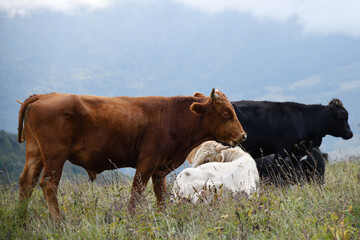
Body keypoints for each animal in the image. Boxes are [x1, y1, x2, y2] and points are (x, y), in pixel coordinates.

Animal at [18, 88, 246, 221]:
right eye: (226, 114)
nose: (243, 136)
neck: (174, 116)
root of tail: (45, 96)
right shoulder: (147, 161)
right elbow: (136, 192)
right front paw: (129, 220)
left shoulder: (160, 168)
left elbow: (161, 195)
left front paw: (162, 218)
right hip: (55, 155)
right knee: (48, 184)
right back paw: (58, 223)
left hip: (35, 153)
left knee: (26, 183)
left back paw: (20, 222)